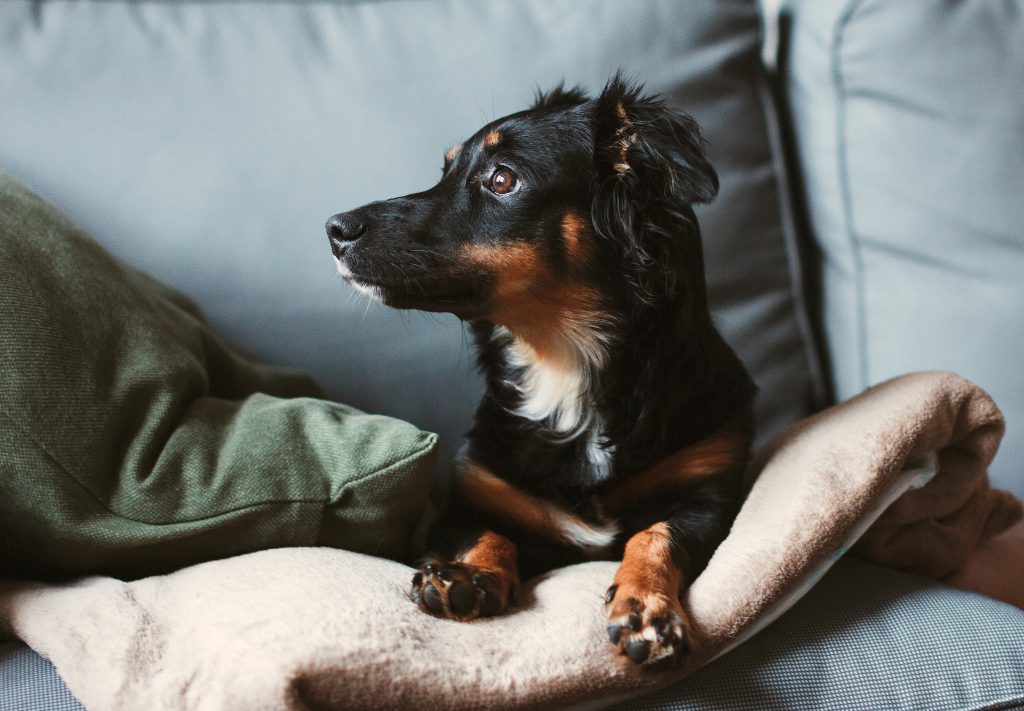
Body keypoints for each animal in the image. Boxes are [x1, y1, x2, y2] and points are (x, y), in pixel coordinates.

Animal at [323, 75, 757, 672]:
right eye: (445, 171)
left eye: (502, 179)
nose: (334, 229)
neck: (562, 365)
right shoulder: (468, 501)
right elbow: (486, 534)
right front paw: (468, 575)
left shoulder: (710, 495)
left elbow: (655, 535)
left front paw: (645, 606)